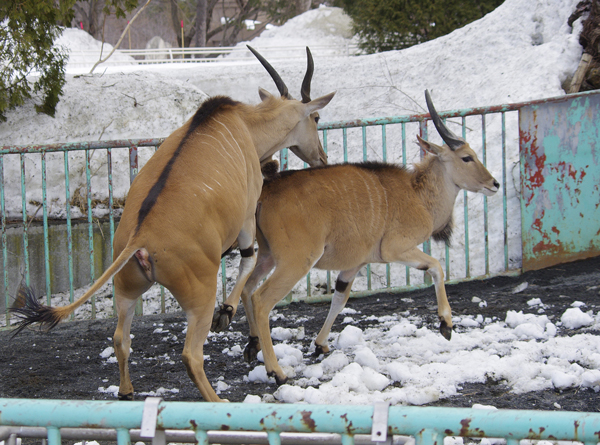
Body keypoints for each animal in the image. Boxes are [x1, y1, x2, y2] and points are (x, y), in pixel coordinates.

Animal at [9, 46, 336, 400]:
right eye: (316, 118)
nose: (322, 158)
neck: (243, 124)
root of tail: (139, 239)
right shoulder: (247, 217)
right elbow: (247, 265)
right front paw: (228, 314)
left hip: (126, 292)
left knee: (120, 339)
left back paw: (126, 391)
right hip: (199, 299)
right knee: (191, 354)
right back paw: (218, 398)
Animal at [218, 90, 500, 386]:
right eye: (467, 157)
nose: (494, 183)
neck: (418, 195)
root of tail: (266, 190)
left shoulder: (354, 265)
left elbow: (340, 299)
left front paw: (321, 344)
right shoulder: (395, 249)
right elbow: (436, 267)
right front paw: (446, 324)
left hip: (268, 256)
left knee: (248, 288)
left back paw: (252, 345)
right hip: (296, 262)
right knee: (261, 299)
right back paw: (277, 371)